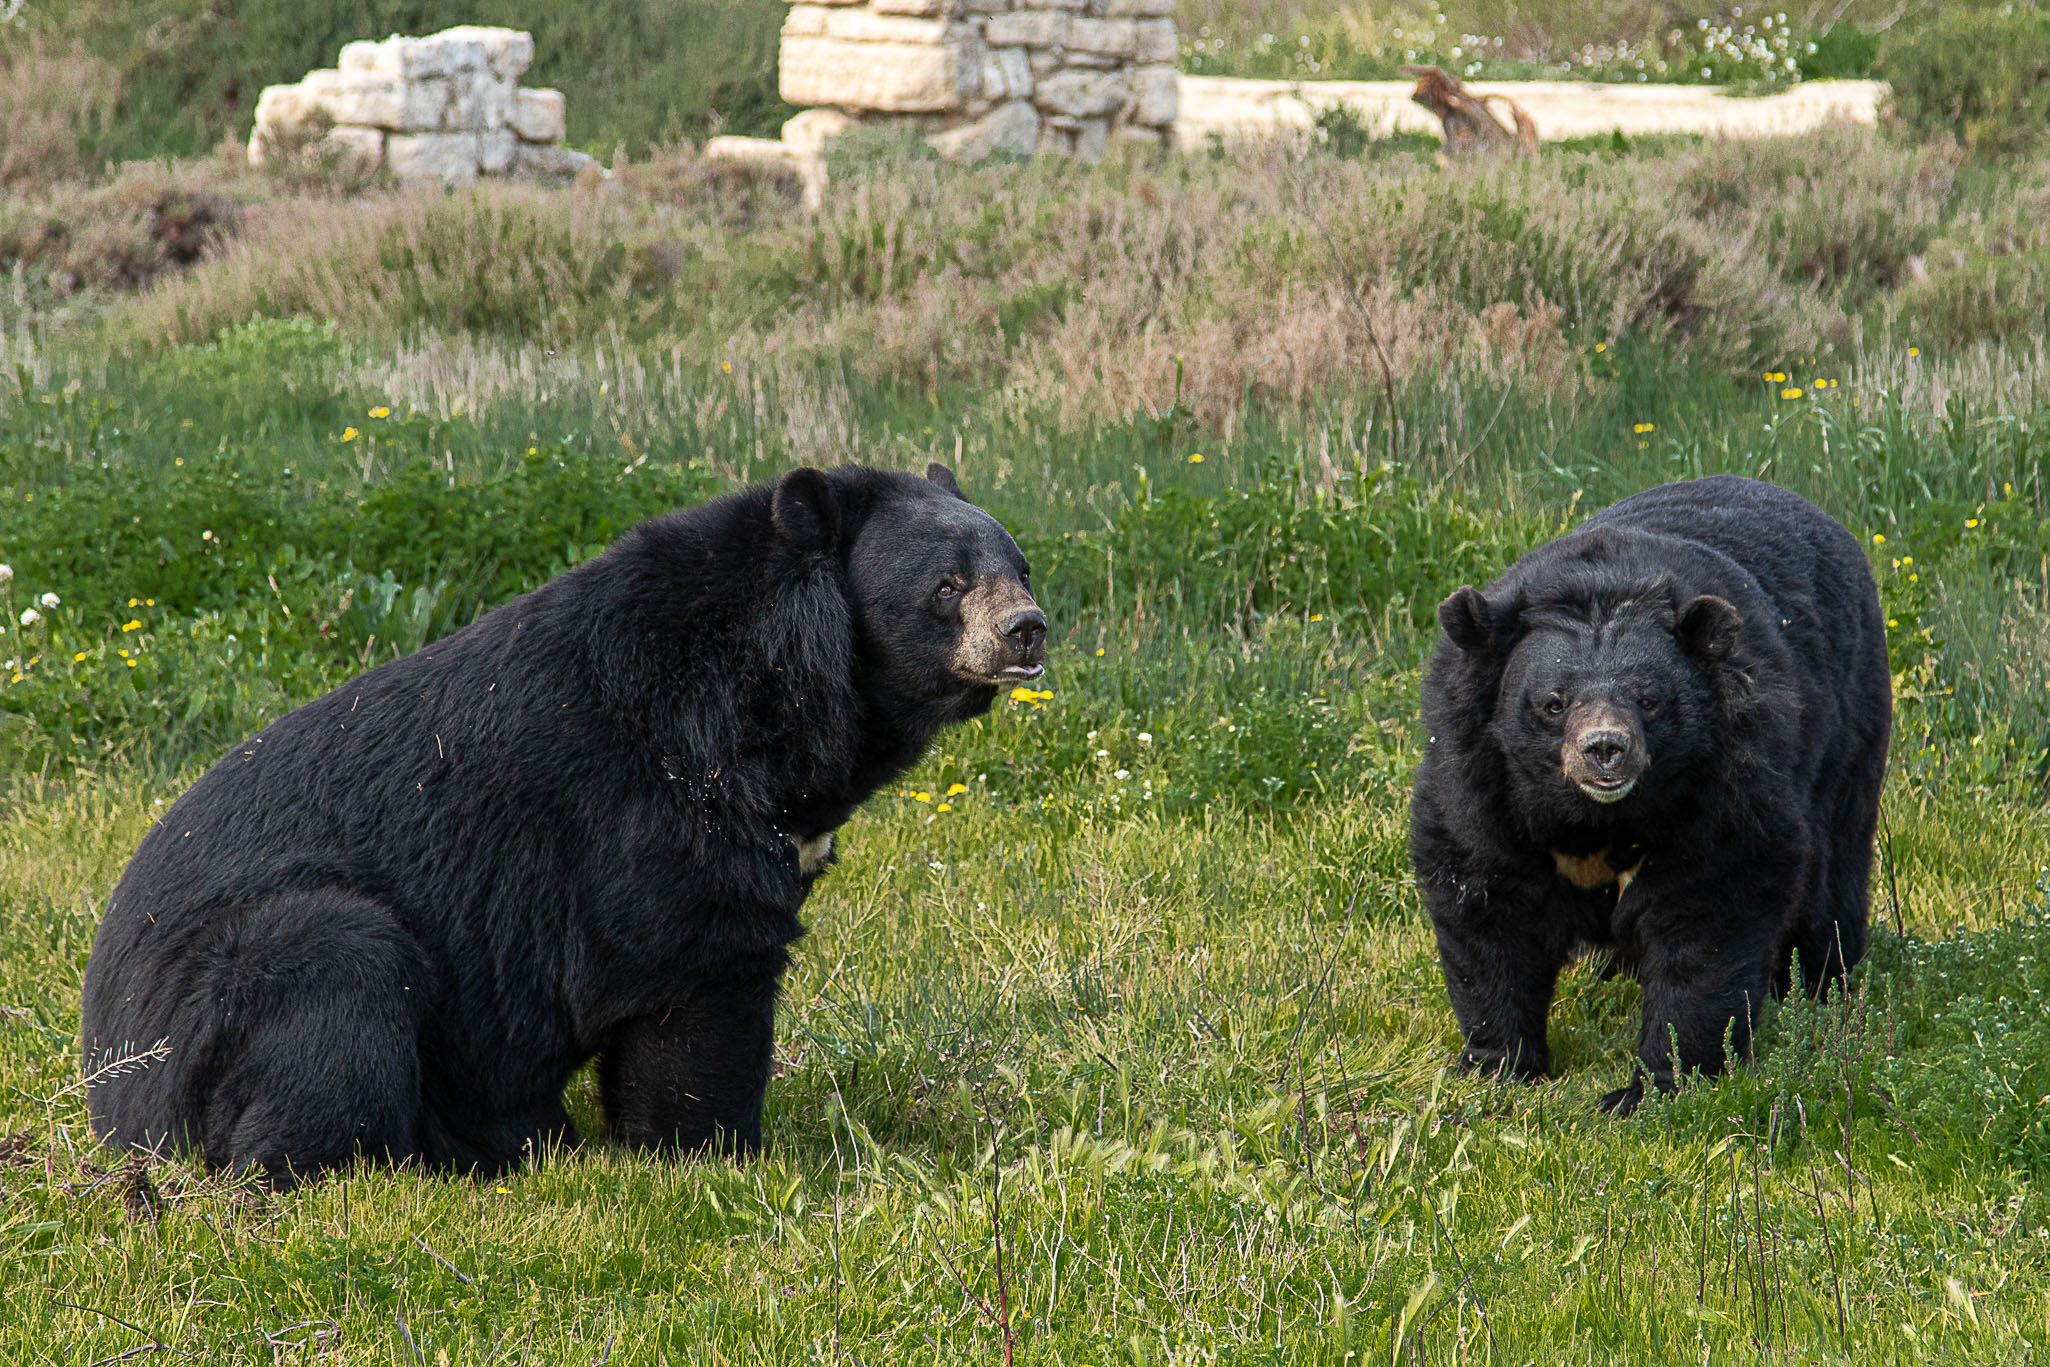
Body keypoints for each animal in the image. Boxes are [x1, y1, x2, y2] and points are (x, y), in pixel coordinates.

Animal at [79, 463, 1046, 1185]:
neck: (777, 692)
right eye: (946, 586)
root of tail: (106, 1086)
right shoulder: (662, 808)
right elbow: (694, 972)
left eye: (1020, 565)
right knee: (333, 1010)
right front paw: (715, 1153)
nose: (1027, 630)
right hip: (245, 982)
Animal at [1409, 475, 1890, 1114]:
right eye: (1554, 701)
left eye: (1650, 699)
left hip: (1847, 734)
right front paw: (1497, 1067)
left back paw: (1822, 984)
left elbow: (1710, 910)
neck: (1594, 819)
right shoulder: (1480, 777)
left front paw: (1652, 1087)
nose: (1605, 749)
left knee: (1832, 875)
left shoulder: (1725, 779)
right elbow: (1486, 898)